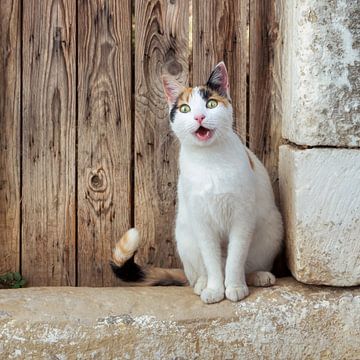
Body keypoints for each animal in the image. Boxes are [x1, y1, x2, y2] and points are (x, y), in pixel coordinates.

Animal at [110, 62, 284, 304]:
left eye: (211, 104)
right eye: (185, 109)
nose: (200, 117)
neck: (209, 161)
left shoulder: (242, 217)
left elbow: (235, 258)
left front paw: (234, 287)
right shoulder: (202, 221)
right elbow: (211, 260)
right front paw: (214, 289)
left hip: (272, 229)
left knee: (245, 263)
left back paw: (258, 276)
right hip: (185, 234)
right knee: (197, 273)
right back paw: (202, 284)